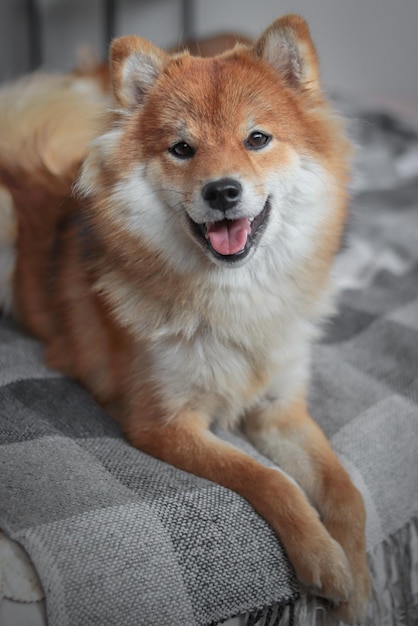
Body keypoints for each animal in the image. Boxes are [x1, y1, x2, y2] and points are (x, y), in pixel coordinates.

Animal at [0, 15, 372, 624]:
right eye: (182, 148)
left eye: (257, 138)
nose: (222, 191)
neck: (237, 299)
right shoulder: (165, 422)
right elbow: (270, 479)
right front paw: (323, 558)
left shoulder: (280, 409)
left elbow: (344, 488)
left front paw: (360, 577)